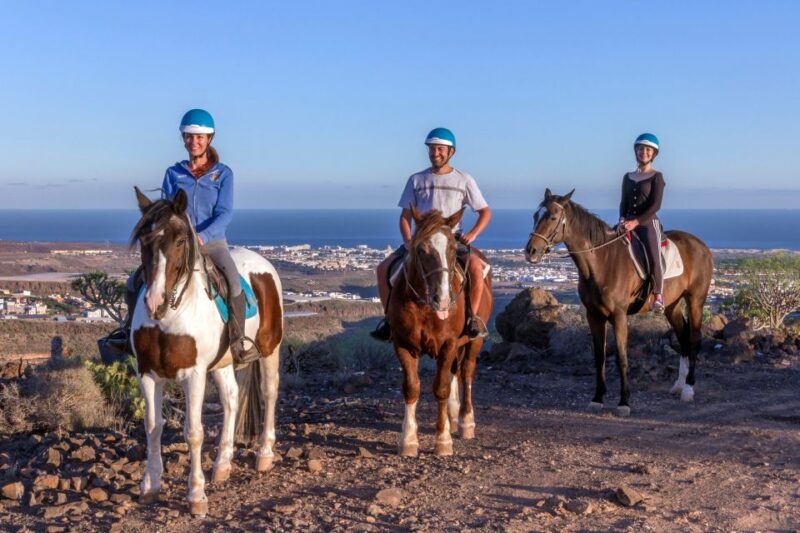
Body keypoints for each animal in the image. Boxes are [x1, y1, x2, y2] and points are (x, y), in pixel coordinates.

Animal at [130, 187, 283, 516]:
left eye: (179, 240)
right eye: (144, 240)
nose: (154, 301)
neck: (170, 315)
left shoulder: (194, 374)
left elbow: (194, 432)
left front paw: (196, 495)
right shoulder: (147, 373)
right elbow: (153, 426)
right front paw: (150, 485)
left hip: (270, 349)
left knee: (269, 392)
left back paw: (264, 454)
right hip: (223, 363)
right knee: (232, 399)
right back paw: (223, 465)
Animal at [387, 208, 493, 456]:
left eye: (453, 249)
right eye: (421, 249)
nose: (443, 300)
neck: (424, 305)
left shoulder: (449, 343)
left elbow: (441, 388)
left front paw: (443, 441)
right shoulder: (403, 344)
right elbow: (412, 387)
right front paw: (408, 440)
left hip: (473, 342)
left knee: (466, 373)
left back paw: (465, 421)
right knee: (454, 372)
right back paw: (452, 416)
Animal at [524, 189, 713, 416]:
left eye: (552, 217)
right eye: (535, 216)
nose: (531, 251)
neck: (601, 261)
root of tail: (700, 245)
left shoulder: (619, 315)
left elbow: (622, 358)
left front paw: (624, 402)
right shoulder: (594, 315)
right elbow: (599, 357)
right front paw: (597, 398)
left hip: (695, 301)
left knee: (694, 338)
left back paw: (688, 388)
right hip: (671, 305)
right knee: (683, 335)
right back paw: (678, 385)